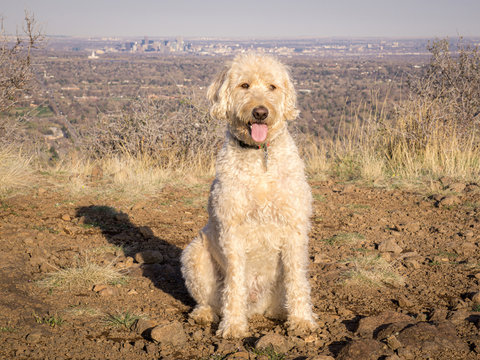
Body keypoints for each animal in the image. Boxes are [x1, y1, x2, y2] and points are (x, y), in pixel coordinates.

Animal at [180, 52, 316, 338]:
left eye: (272, 87)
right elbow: (234, 282)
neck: (259, 156)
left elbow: (297, 280)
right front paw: (233, 326)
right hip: (195, 254)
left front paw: (302, 320)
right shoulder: (232, 231)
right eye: (244, 85)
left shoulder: (295, 228)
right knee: (210, 299)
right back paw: (205, 314)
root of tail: (257, 306)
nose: (260, 112)